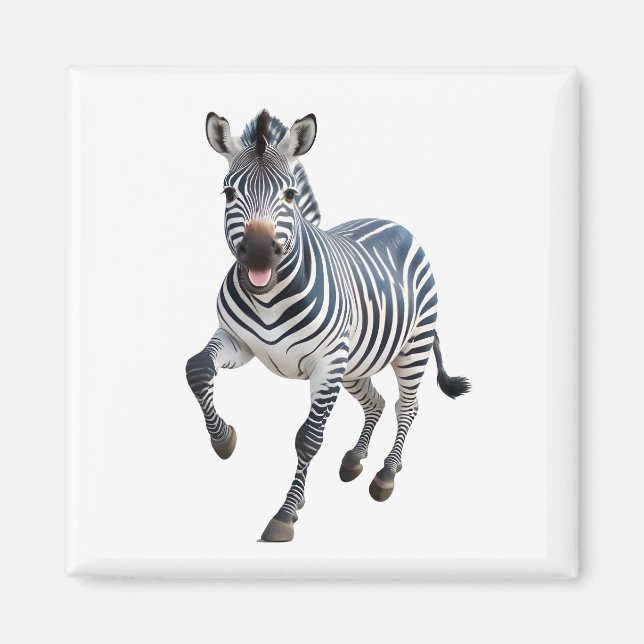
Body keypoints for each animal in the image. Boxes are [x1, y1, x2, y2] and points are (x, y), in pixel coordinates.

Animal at [186, 109, 470, 542]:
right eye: (228, 193)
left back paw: (386, 474)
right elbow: (198, 367)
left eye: (289, 195)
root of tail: (394, 223)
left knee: (406, 406)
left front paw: (286, 514)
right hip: (355, 363)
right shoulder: (238, 341)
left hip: (412, 346)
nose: (258, 253)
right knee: (377, 401)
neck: (268, 298)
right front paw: (224, 440)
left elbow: (308, 438)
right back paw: (354, 460)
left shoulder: (326, 362)